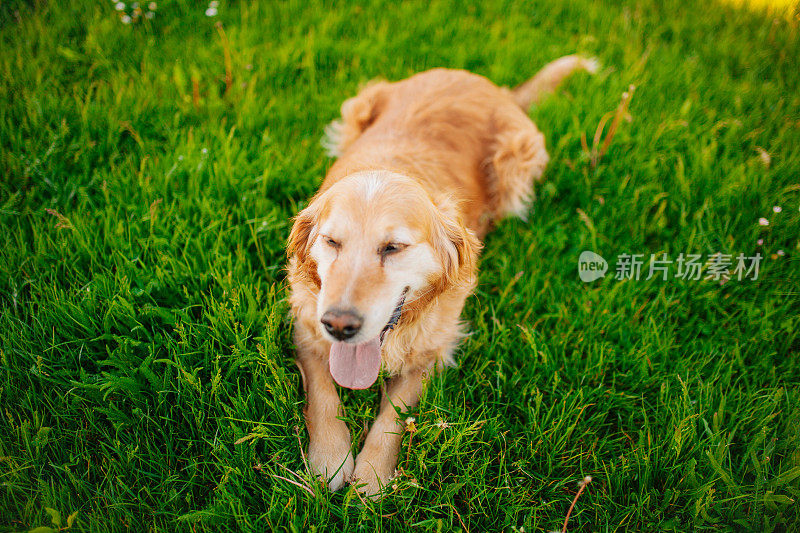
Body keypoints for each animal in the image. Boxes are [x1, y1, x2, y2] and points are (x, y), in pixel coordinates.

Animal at [286, 54, 592, 494]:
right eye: (331, 242)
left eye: (393, 247)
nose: (340, 326)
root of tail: (485, 83)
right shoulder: (306, 324)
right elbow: (323, 393)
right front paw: (330, 457)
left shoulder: (432, 349)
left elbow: (395, 415)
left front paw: (373, 474)